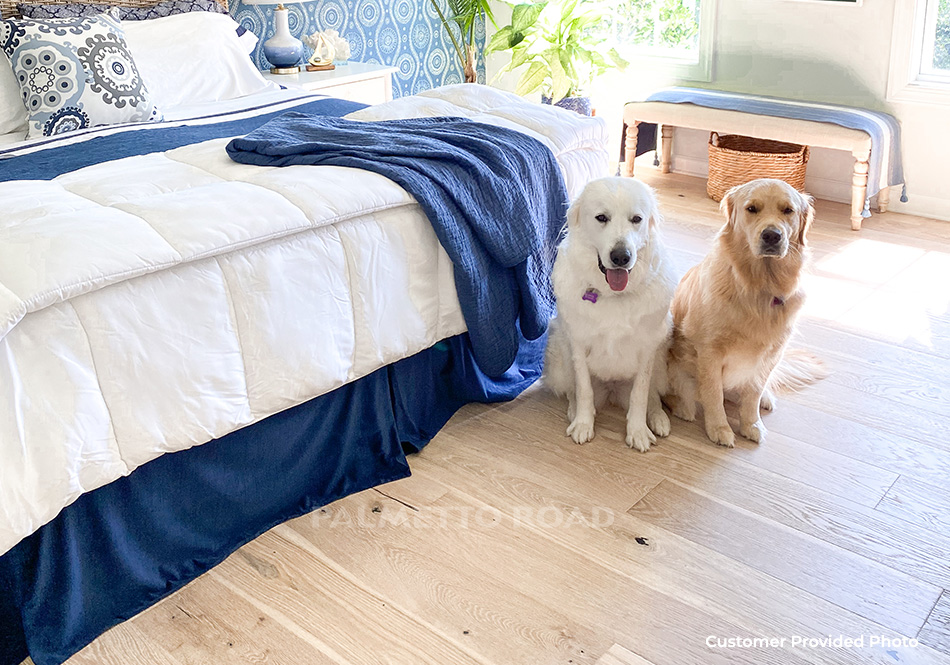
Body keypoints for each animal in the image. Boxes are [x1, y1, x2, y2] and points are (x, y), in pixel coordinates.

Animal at [544, 176, 676, 452]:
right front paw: (583, 424)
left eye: (636, 219)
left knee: (653, 397)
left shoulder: (648, 350)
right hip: (559, 359)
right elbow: (584, 389)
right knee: (572, 389)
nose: (621, 257)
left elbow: (640, 394)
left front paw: (637, 431)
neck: (614, 295)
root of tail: (613, 391)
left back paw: (658, 419)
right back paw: (574, 411)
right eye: (601, 218)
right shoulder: (578, 344)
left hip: (661, 362)